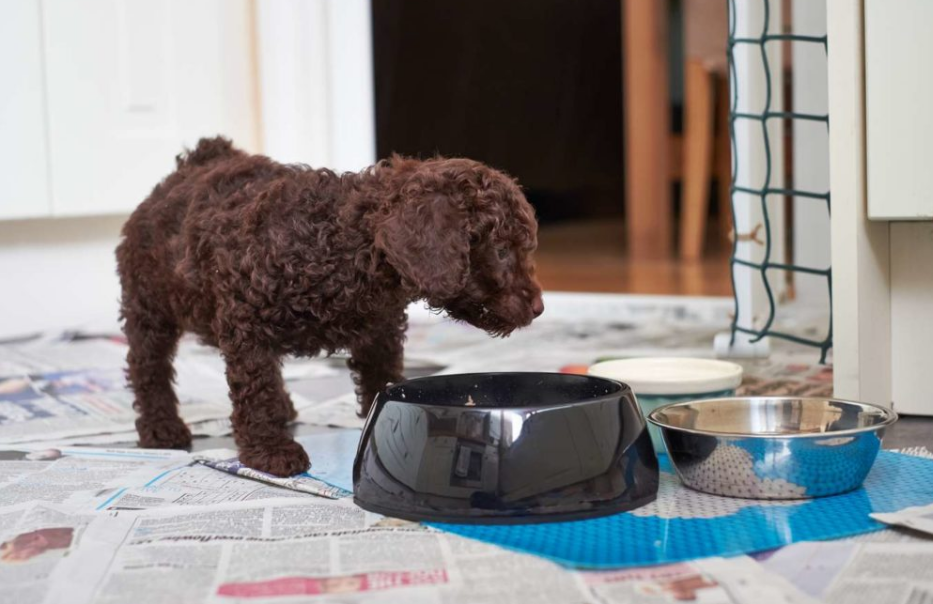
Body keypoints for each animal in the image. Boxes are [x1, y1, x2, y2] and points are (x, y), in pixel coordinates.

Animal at [116, 137, 544, 476]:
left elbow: (379, 381)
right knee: (148, 367)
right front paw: (270, 450)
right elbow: (256, 389)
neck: (345, 246)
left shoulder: (379, 333)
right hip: (148, 304)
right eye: (502, 250)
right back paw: (160, 428)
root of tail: (193, 163)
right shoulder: (246, 325)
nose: (540, 307)